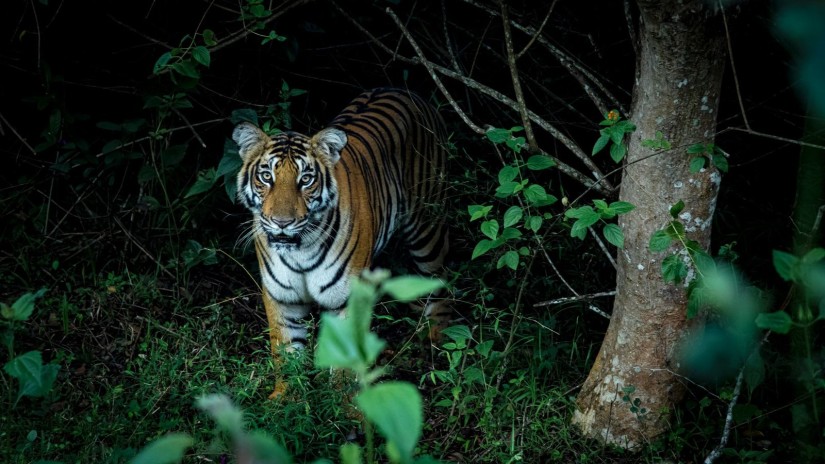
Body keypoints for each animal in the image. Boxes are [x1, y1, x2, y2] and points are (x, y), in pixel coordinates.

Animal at [232, 87, 450, 376]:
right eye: (266, 177)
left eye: (306, 179)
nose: (282, 222)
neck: (300, 251)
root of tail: (407, 91)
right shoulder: (282, 298)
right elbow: (286, 359)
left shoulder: (348, 300)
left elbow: (345, 367)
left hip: (427, 227)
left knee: (439, 285)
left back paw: (442, 346)